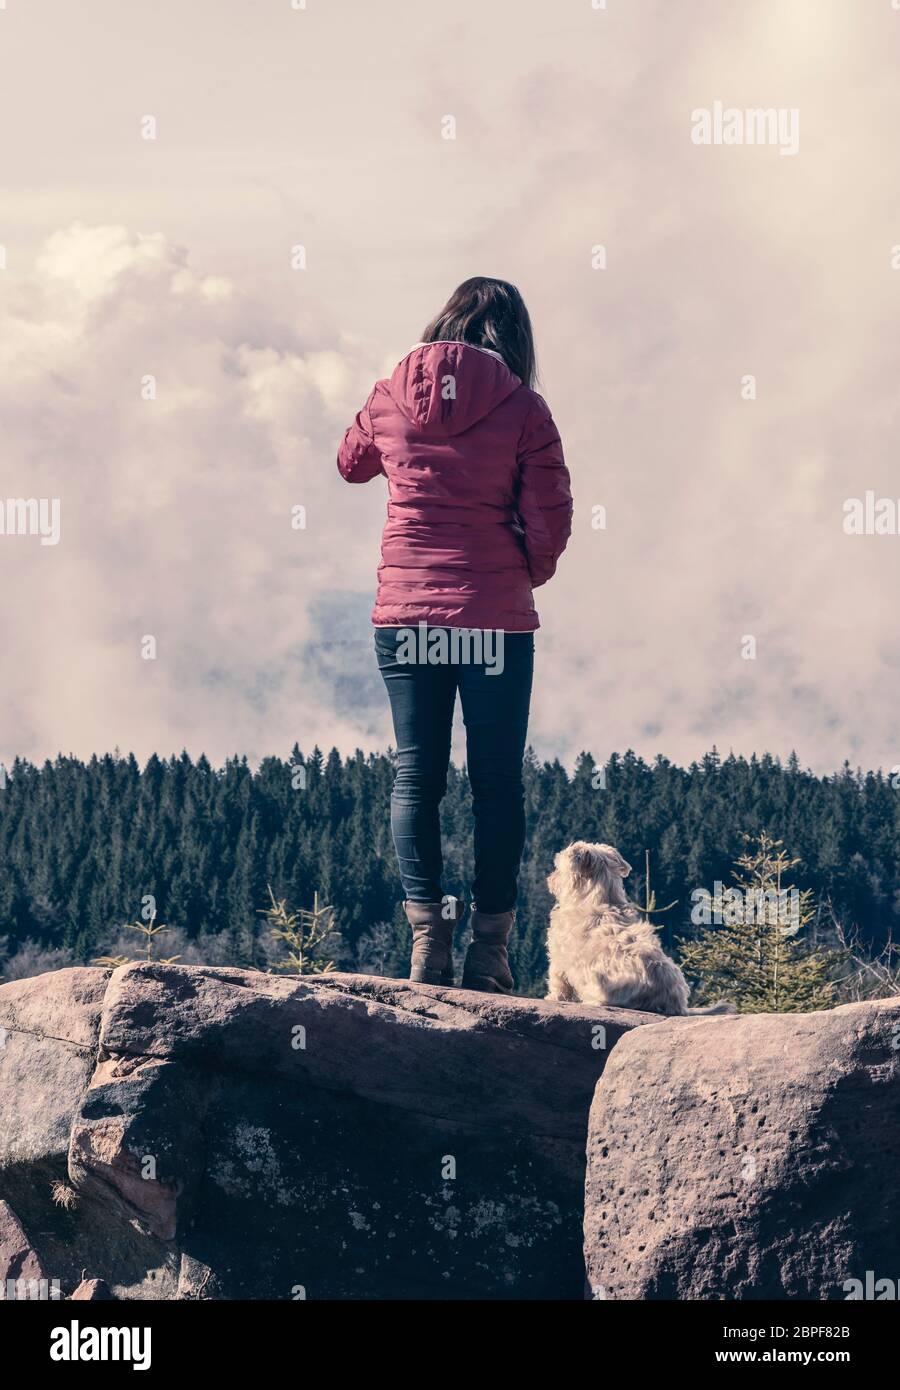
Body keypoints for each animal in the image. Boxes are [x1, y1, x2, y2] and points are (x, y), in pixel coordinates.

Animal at [545, 839, 734, 1017]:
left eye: (558, 867)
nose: (550, 879)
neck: (600, 898)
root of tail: (678, 1005)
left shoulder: (558, 956)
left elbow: (558, 981)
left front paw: (553, 997)